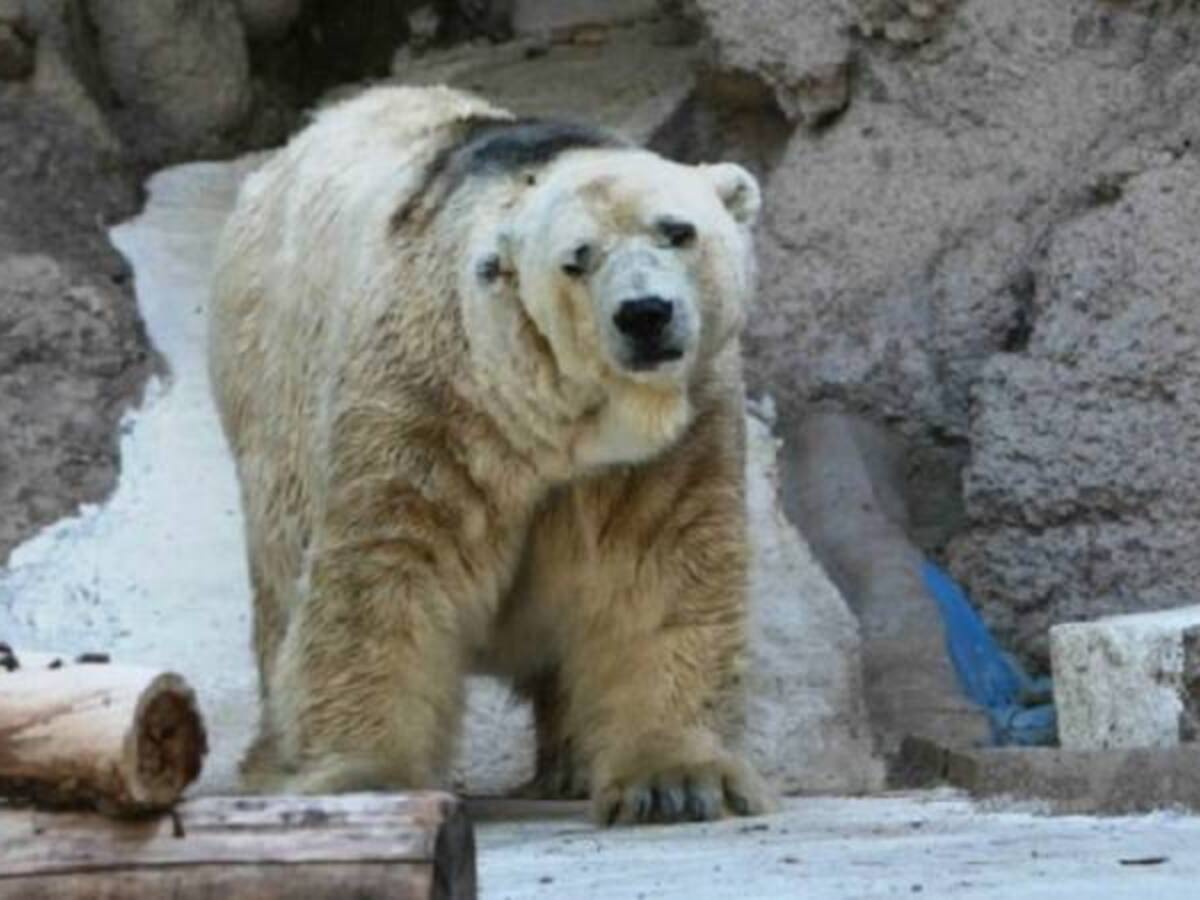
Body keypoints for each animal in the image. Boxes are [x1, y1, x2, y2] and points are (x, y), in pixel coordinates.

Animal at [208, 85, 772, 825]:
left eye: (679, 231)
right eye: (577, 258)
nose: (645, 313)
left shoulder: (676, 431)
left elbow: (661, 561)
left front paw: (675, 781)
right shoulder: (431, 399)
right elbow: (387, 567)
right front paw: (368, 777)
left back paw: (570, 764)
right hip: (270, 395)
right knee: (281, 585)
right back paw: (272, 762)